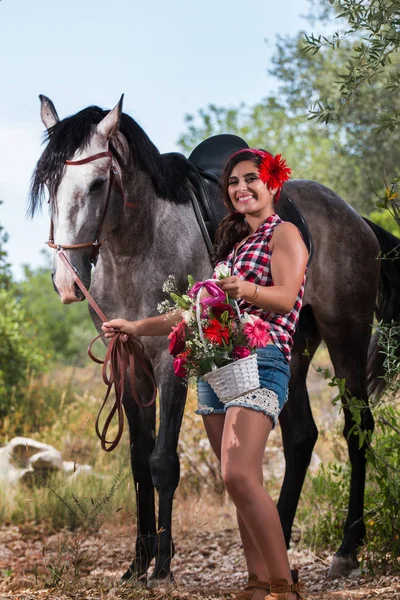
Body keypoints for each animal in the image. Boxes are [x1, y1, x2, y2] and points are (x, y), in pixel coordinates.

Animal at [29, 96, 400, 584]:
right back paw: (279, 541)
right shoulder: (129, 361)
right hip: (291, 349)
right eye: (49, 185)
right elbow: (138, 461)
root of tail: (357, 219)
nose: (67, 282)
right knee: (301, 436)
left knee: (358, 430)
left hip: (347, 336)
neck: (137, 247)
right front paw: (137, 562)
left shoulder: (171, 363)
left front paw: (163, 566)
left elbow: (162, 462)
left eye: (96, 184)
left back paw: (347, 548)